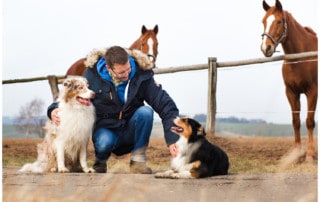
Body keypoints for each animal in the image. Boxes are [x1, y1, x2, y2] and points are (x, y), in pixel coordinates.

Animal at [260, 0, 318, 162]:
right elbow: (296, 121)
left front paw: (310, 155)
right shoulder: (291, 92)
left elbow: (309, 121)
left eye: (279, 21)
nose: (266, 48)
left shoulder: (312, 91)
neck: (301, 57)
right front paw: (296, 154)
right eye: (263, 21)